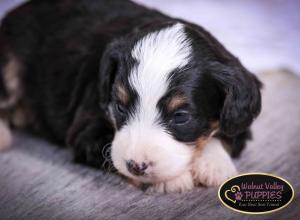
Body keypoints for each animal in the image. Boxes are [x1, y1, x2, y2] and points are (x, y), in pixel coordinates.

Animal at [0, 0, 262, 192]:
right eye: (120, 107)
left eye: (180, 116)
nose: (137, 166)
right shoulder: (87, 127)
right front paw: (171, 180)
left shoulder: (238, 115)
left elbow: (224, 135)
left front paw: (214, 166)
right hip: (9, 62)